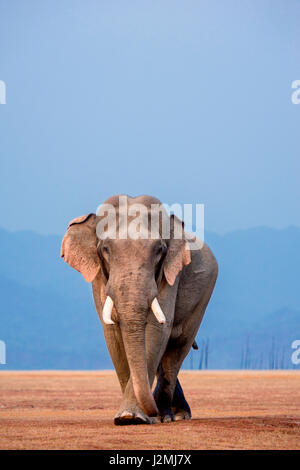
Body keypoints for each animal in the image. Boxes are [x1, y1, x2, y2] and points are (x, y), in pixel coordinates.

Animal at [60, 195, 218, 426]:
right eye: (105, 249)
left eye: (159, 249)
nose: (151, 413)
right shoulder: (99, 277)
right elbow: (113, 334)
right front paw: (127, 417)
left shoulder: (169, 273)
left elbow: (157, 329)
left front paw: (133, 417)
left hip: (205, 293)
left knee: (177, 347)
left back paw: (170, 416)